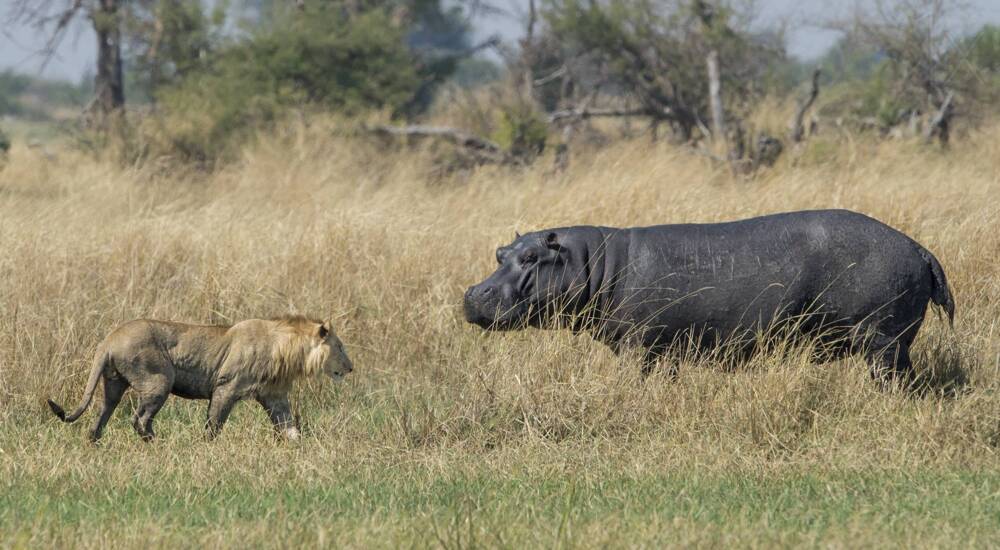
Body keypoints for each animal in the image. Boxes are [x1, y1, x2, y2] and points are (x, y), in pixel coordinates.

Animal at [47, 316, 354, 442]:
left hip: (113, 384)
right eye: (340, 347)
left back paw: (95, 443)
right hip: (159, 380)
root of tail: (109, 339)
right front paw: (207, 447)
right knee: (139, 419)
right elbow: (214, 424)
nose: (351, 368)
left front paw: (300, 447)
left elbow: (290, 427)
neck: (288, 351)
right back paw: (159, 444)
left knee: (101, 417)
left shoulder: (274, 396)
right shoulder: (226, 387)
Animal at [464, 209, 956, 386]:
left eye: (531, 256)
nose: (473, 293)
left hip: (881, 340)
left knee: (890, 377)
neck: (594, 261)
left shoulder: (639, 345)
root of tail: (920, 248)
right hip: (892, 342)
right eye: (500, 252)